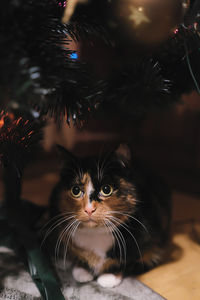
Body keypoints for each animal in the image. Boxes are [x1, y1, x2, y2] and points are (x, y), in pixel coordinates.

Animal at [47, 144, 170, 288]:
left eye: (106, 189)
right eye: (75, 190)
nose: (89, 209)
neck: (95, 234)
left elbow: (129, 259)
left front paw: (109, 277)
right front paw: (81, 270)